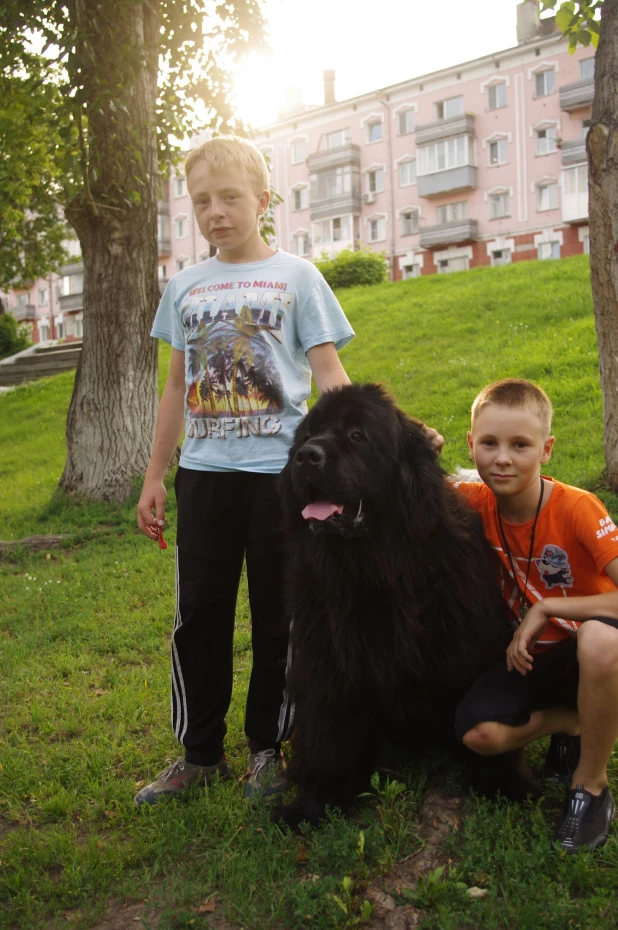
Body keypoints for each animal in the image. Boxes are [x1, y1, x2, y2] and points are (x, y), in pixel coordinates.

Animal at [274, 382, 528, 828]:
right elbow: (326, 729)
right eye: (308, 434)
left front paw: (501, 781)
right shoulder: (325, 655)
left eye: (358, 435)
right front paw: (315, 801)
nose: (307, 456)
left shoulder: (466, 641)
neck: (372, 569)